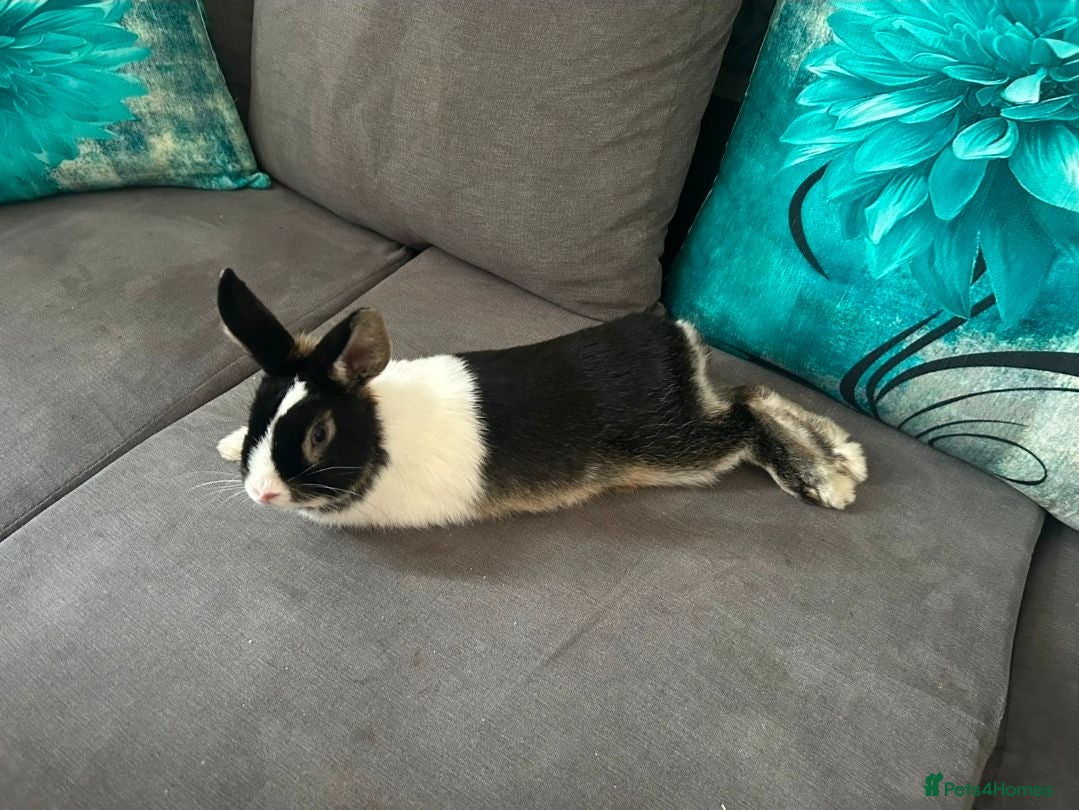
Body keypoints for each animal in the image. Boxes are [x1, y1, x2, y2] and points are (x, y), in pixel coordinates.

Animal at [215, 269, 867, 529]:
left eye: (318, 435)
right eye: (256, 413)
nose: (261, 492)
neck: (380, 434)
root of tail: (674, 336)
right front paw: (226, 445)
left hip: (676, 446)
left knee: (745, 414)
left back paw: (826, 481)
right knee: (752, 391)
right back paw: (847, 453)